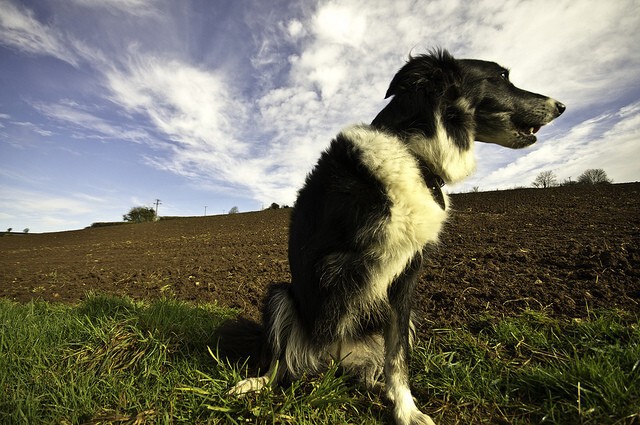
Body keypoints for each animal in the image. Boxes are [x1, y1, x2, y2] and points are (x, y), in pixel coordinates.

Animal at [224, 50, 564, 424]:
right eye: (502, 77)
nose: (561, 106)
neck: (416, 157)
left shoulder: (406, 278)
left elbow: (396, 355)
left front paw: (406, 409)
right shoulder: (340, 262)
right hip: (281, 295)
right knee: (282, 360)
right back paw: (256, 383)